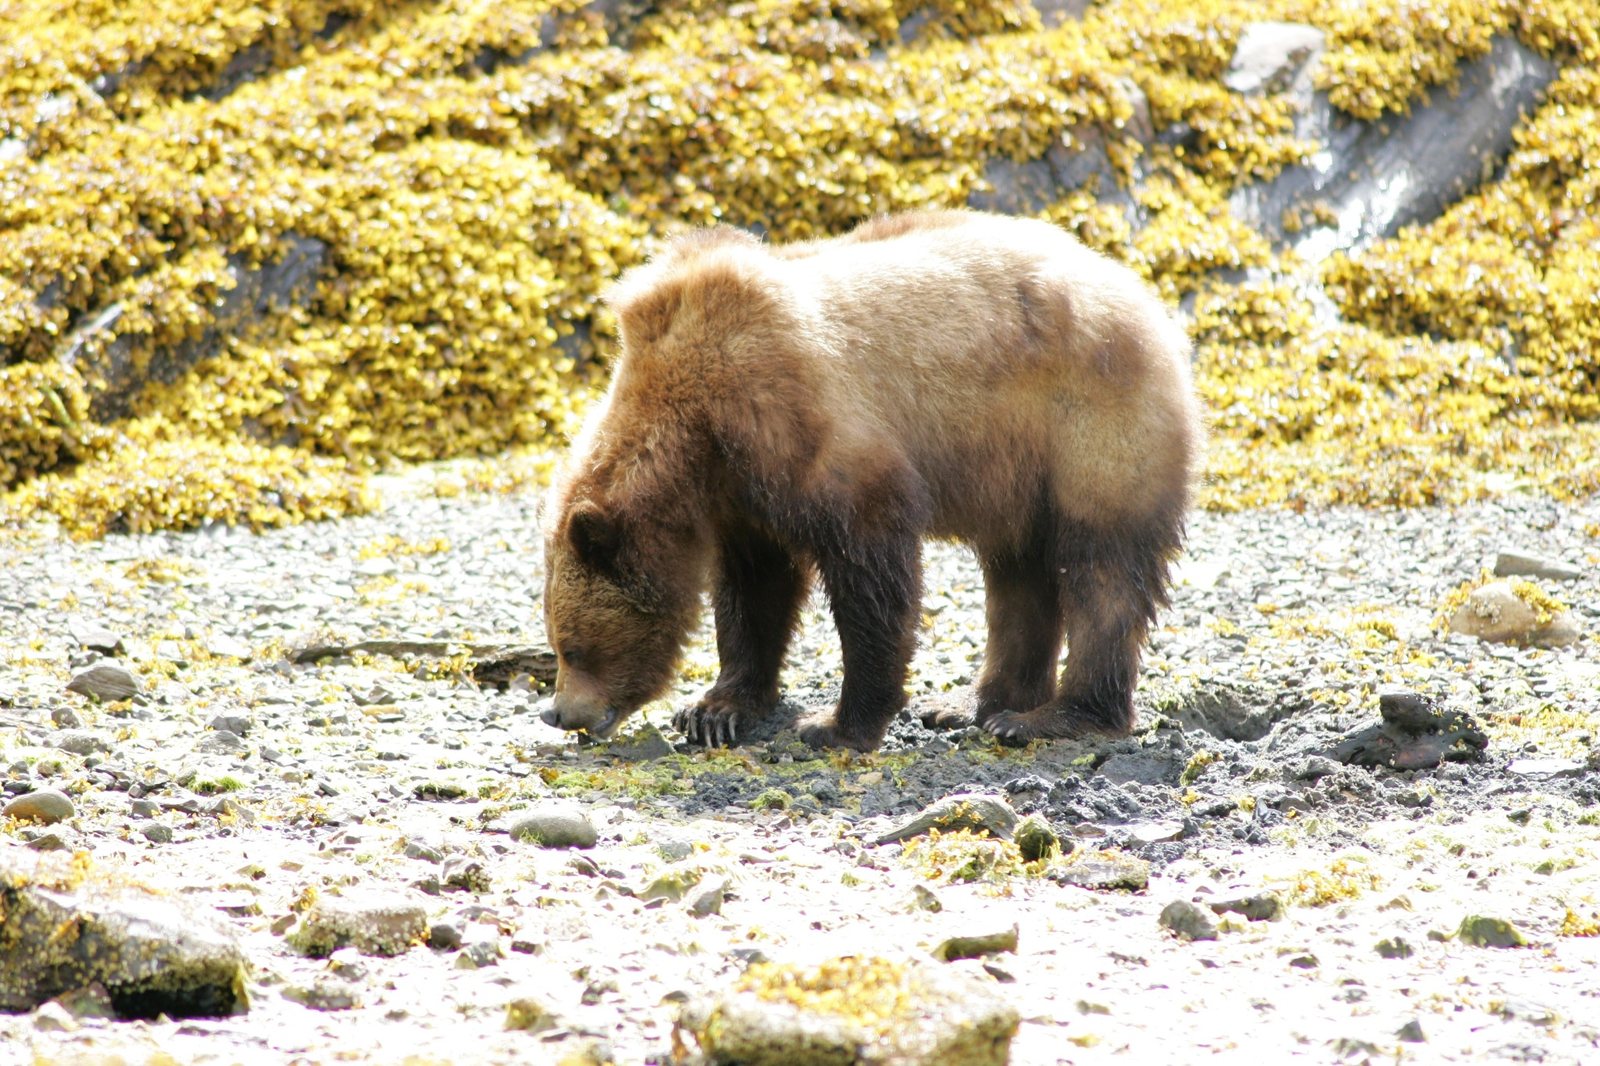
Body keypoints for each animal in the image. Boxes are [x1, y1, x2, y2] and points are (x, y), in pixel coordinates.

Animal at [540, 208, 1201, 752]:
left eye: (572, 646)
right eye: (555, 643)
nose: (559, 713)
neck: (696, 434)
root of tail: (1146, 300)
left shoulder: (802, 425)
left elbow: (870, 573)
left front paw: (837, 723)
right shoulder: (742, 495)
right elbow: (755, 591)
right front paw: (714, 709)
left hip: (1089, 425)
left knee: (1102, 572)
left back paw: (1054, 717)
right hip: (1017, 474)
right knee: (1019, 573)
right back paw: (971, 702)